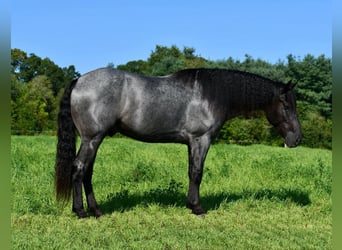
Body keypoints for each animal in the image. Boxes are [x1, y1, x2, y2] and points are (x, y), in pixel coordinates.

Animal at [54, 67, 302, 218]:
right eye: (286, 105)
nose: (297, 138)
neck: (213, 95)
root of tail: (78, 80)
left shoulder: (191, 143)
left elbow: (191, 171)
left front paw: (190, 204)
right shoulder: (201, 139)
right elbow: (197, 173)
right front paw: (198, 208)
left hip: (94, 140)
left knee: (87, 172)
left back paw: (96, 210)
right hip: (92, 139)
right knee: (78, 169)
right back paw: (81, 212)